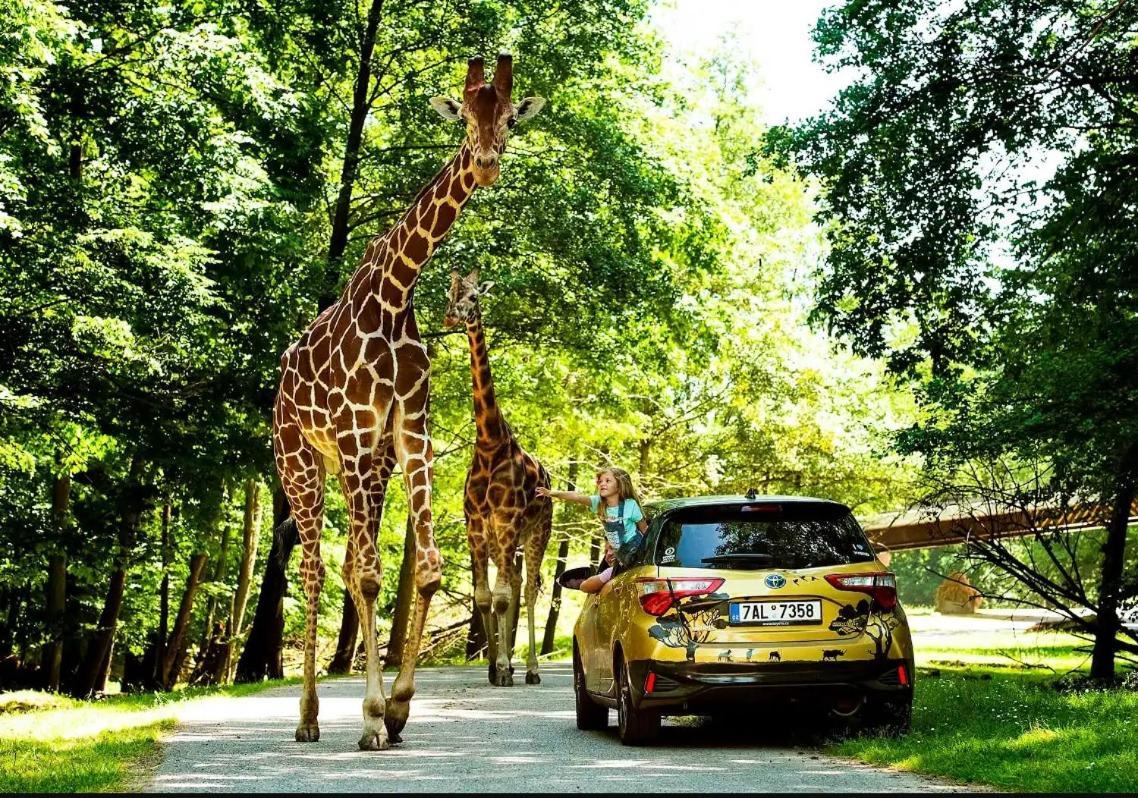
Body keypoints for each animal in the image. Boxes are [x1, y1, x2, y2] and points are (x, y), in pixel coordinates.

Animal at [441, 267, 553, 683]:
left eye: (474, 297)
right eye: (450, 294)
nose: (451, 316)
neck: (489, 443)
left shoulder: (506, 519)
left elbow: (503, 598)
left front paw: (504, 668)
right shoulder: (475, 523)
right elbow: (485, 596)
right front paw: (493, 664)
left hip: (537, 532)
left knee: (529, 589)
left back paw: (532, 669)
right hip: (500, 540)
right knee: (517, 584)